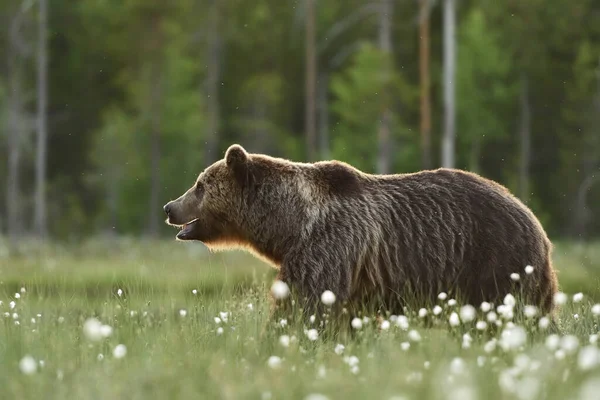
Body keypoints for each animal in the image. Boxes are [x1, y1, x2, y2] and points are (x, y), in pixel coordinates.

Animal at [163, 145, 556, 320]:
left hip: (496, 260)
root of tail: (535, 220)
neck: (290, 225)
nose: (169, 207)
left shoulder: (329, 245)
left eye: (200, 185)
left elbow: (307, 301)